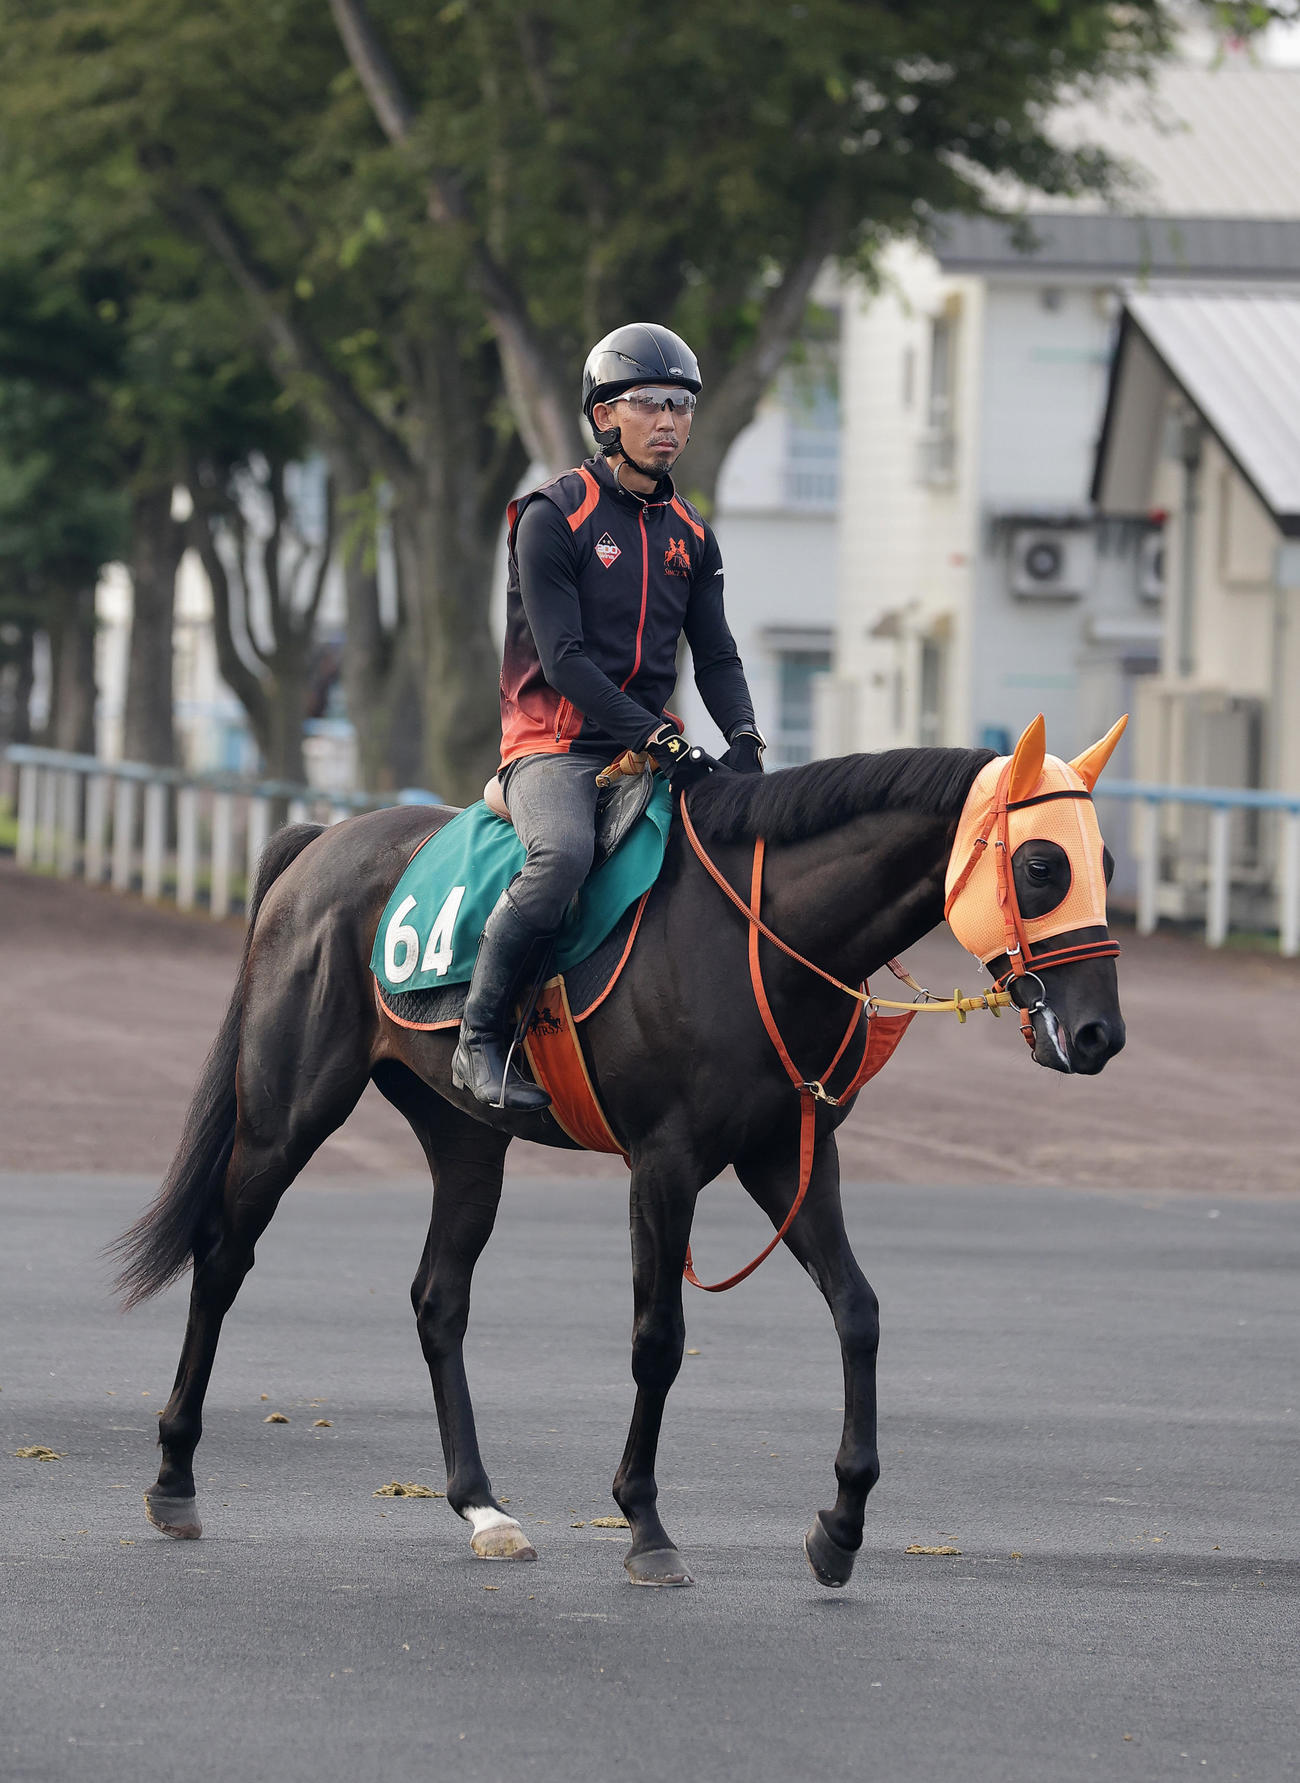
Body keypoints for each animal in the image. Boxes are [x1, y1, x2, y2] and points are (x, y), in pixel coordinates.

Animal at [112, 719, 1126, 1588]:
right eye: (1043, 863)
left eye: (1106, 863)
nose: (1099, 1033)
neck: (755, 932)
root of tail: (321, 843)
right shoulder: (665, 1163)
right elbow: (658, 1338)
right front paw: (645, 1523)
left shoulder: (788, 1156)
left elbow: (859, 1313)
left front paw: (840, 1526)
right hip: (287, 1112)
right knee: (223, 1257)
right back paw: (174, 1477)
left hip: (467, 1138)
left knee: (439, 1299)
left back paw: (483, 1507)